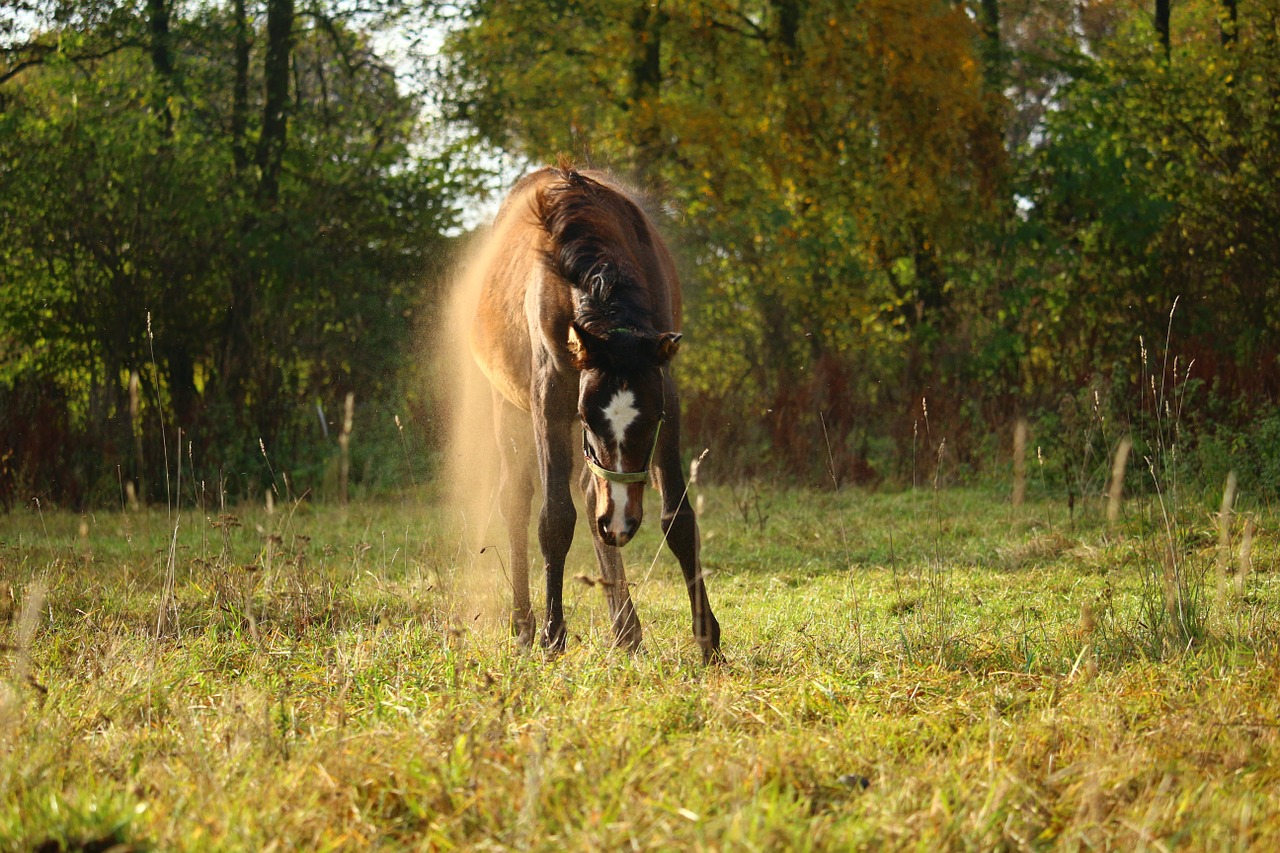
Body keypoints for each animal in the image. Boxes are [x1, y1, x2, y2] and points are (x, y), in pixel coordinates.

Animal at [471, 162, 727, 660]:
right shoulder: (551, 404)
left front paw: (708, 639)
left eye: (650, 422)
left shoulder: (666, 391)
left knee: (593, 497)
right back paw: (524, 626)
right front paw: (553, 635)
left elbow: (678, 517)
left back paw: (625, 628)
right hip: (506, 407)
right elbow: (554, 518)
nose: (622, 522)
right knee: (518, 501)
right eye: (590, 419)